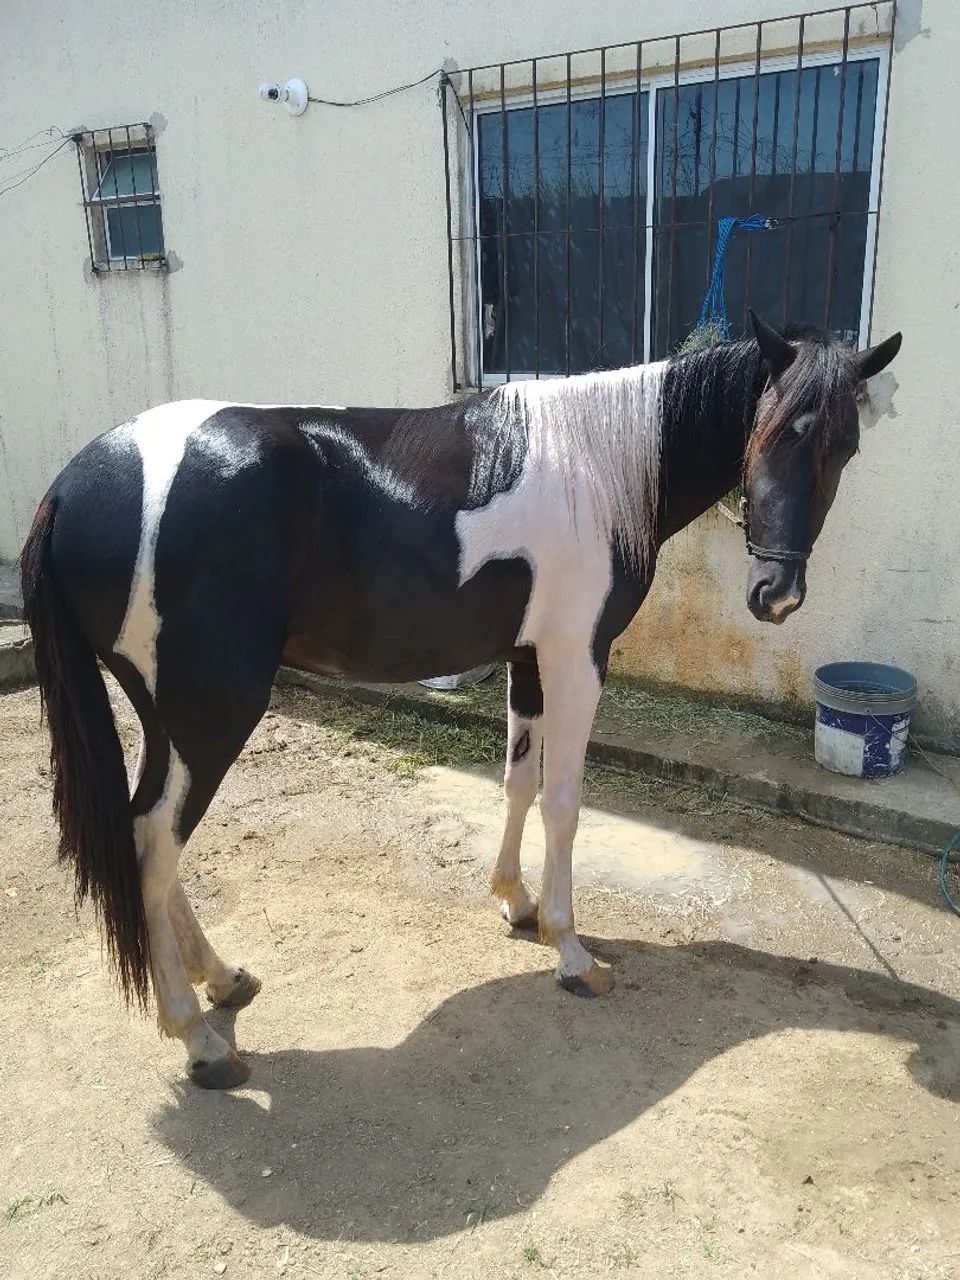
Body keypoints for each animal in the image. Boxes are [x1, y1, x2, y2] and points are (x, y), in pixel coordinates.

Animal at [20, 312, 901, 1089]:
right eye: (772, 431)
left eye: (845, 446)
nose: (776, 595)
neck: (599, 466)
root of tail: (70, 486)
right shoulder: (577, 659)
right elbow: (563, 801)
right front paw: (570, 950)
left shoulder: (528, 659)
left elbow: (518, 782)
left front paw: (515, 903)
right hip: (213, 713)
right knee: (152, 846)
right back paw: (198, 1039)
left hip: (167, 716)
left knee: (149, 838)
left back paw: (223, 978)